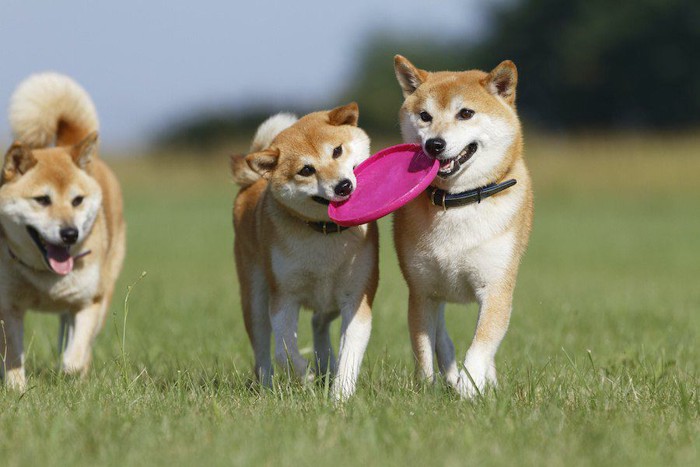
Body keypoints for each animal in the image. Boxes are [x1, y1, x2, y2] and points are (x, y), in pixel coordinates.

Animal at [0, 73, 124, 392]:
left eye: (77, 200)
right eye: (42, 200)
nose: (70, 234)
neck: (47, 278)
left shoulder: (89, 302)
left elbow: (75, 356)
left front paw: (70, 373)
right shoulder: (8, 306)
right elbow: (13, 357)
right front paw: (17, 389)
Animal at [231, 103, 378, 402]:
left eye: (337, 150)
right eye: (306, 170)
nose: (343, 186)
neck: (324, 232)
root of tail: (252, 183)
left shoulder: (357, 296)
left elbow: (350, 352)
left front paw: (340, 396)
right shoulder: (284, 297)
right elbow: (284, 351)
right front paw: (306, 375)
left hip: (330, 301)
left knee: (319, 322)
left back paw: (327, 366)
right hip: (254, 296)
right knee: (263, 352)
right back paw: (269, 388)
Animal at [392, 54, 532, 398]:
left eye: (465, 113)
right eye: (425, 116)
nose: (434, 144)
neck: (457, 202)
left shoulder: (496, 287)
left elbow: (481, 346)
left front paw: (469, 388)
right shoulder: (421, 291)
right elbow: (424, 349)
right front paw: (426, 389)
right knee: (442, 339)